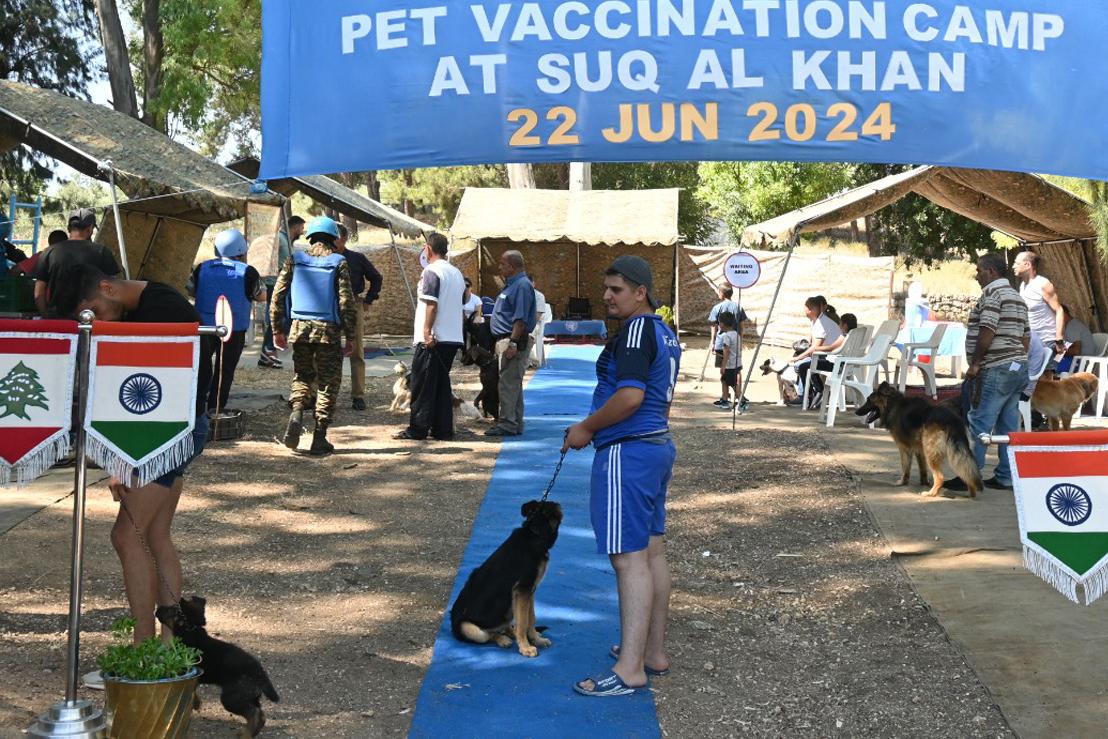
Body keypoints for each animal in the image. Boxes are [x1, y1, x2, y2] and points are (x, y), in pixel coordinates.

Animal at [156, 596, 279, 738]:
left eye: (171, 609)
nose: (157, 609)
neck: (190, 631)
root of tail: (260, 674)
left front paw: (196, 703)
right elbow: (193, 689)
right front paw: (196, 703)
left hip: (231, 698)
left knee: (255, 714)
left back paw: (245, 734)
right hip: (250, 697)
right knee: (261, 715)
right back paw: (251, 732)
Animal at [450, 500, 562, 658]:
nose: (557, 504)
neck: (535, 533)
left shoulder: (529, 591)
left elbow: (530, 618)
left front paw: (535, 639)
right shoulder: (523, 590)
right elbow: (523, 622)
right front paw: (525, 647)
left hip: (509, 608)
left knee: (505, 627)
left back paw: (511, 634)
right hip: (468, 628)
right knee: (490, 634)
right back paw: (503, 639)